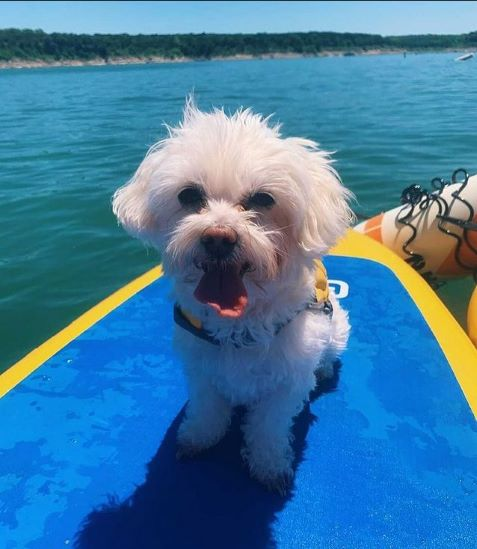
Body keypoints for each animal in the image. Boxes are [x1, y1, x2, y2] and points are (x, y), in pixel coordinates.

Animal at [112, 99, 354, 492]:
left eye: (263, 199)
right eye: (189, 195)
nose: (218, 238)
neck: (239, 326)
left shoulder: (285, 385)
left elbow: (269, 428)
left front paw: (269, 465)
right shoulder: (201, 371)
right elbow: (207, 410)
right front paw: (198, 437)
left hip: (338, 327)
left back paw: (326, 368)